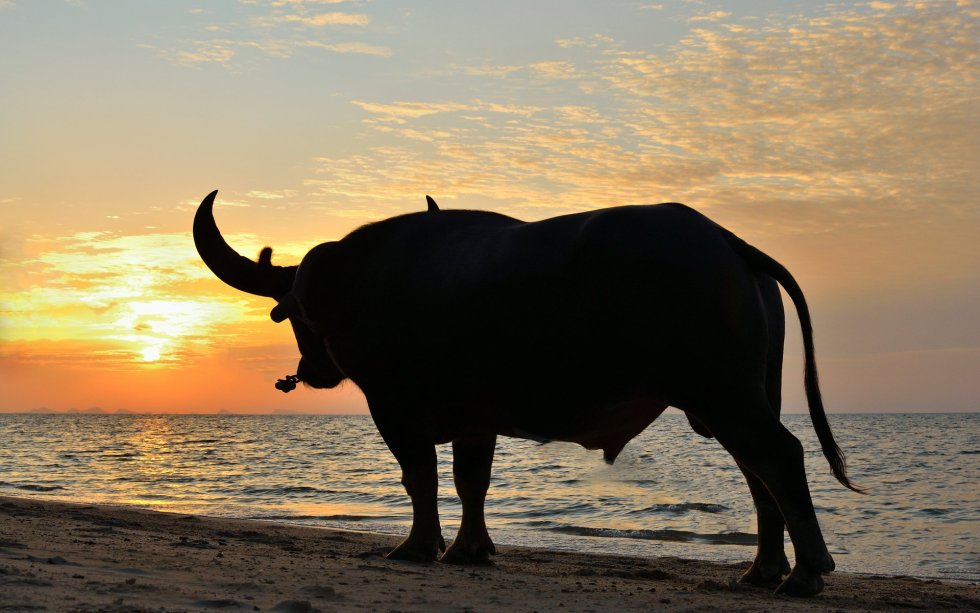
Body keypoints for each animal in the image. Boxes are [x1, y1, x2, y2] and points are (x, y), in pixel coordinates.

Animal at [193, 190, 860, 597]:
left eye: (300, 317)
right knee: (758, 472)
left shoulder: (395, 409)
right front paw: (469, 549)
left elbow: (422, 478)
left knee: (779, 457)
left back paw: (806, 574)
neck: (372, 281)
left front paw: (419, 547)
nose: (311, 368)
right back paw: (762, 570)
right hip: (734, 400)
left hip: (725, 395)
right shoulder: (476, 418)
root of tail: (724, 240)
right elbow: (472, 482)